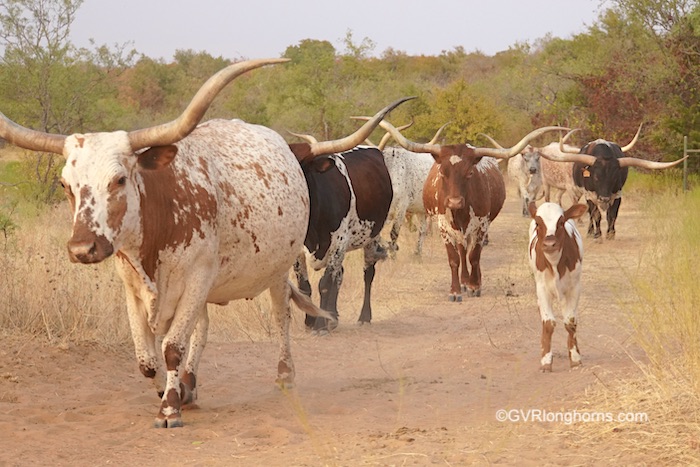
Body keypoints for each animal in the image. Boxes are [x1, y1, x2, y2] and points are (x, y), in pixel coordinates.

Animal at [0, 60, 336, 430]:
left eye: (119, 179)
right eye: (65, 184)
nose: (81, 249)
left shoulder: (197, 277)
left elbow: (173, 346)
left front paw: (169, 409)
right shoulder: (133, 285)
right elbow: (146, 357)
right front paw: (170, 390)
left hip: (278, 269)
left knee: (280, 317)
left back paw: (285, 375)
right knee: (202, 329)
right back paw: (189, 384)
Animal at [288, 97, 412, 330]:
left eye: (301, 168)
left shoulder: (338, 241)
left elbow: (325, 283)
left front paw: (320, 325)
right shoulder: (298, 250)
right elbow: (305, 286)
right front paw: (312, 321)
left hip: (372, 236)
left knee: (367, 274)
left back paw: (363, 316)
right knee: (340, 274)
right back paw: (334, 318)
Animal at [528, 201, 588, 372]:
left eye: (561, 222)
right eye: (538, 223)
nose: (549, 244)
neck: (555, 264)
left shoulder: (575, 287)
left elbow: (570, 321)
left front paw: (575, 358)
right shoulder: (542, 288)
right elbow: (548, 323)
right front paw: (546, 360)